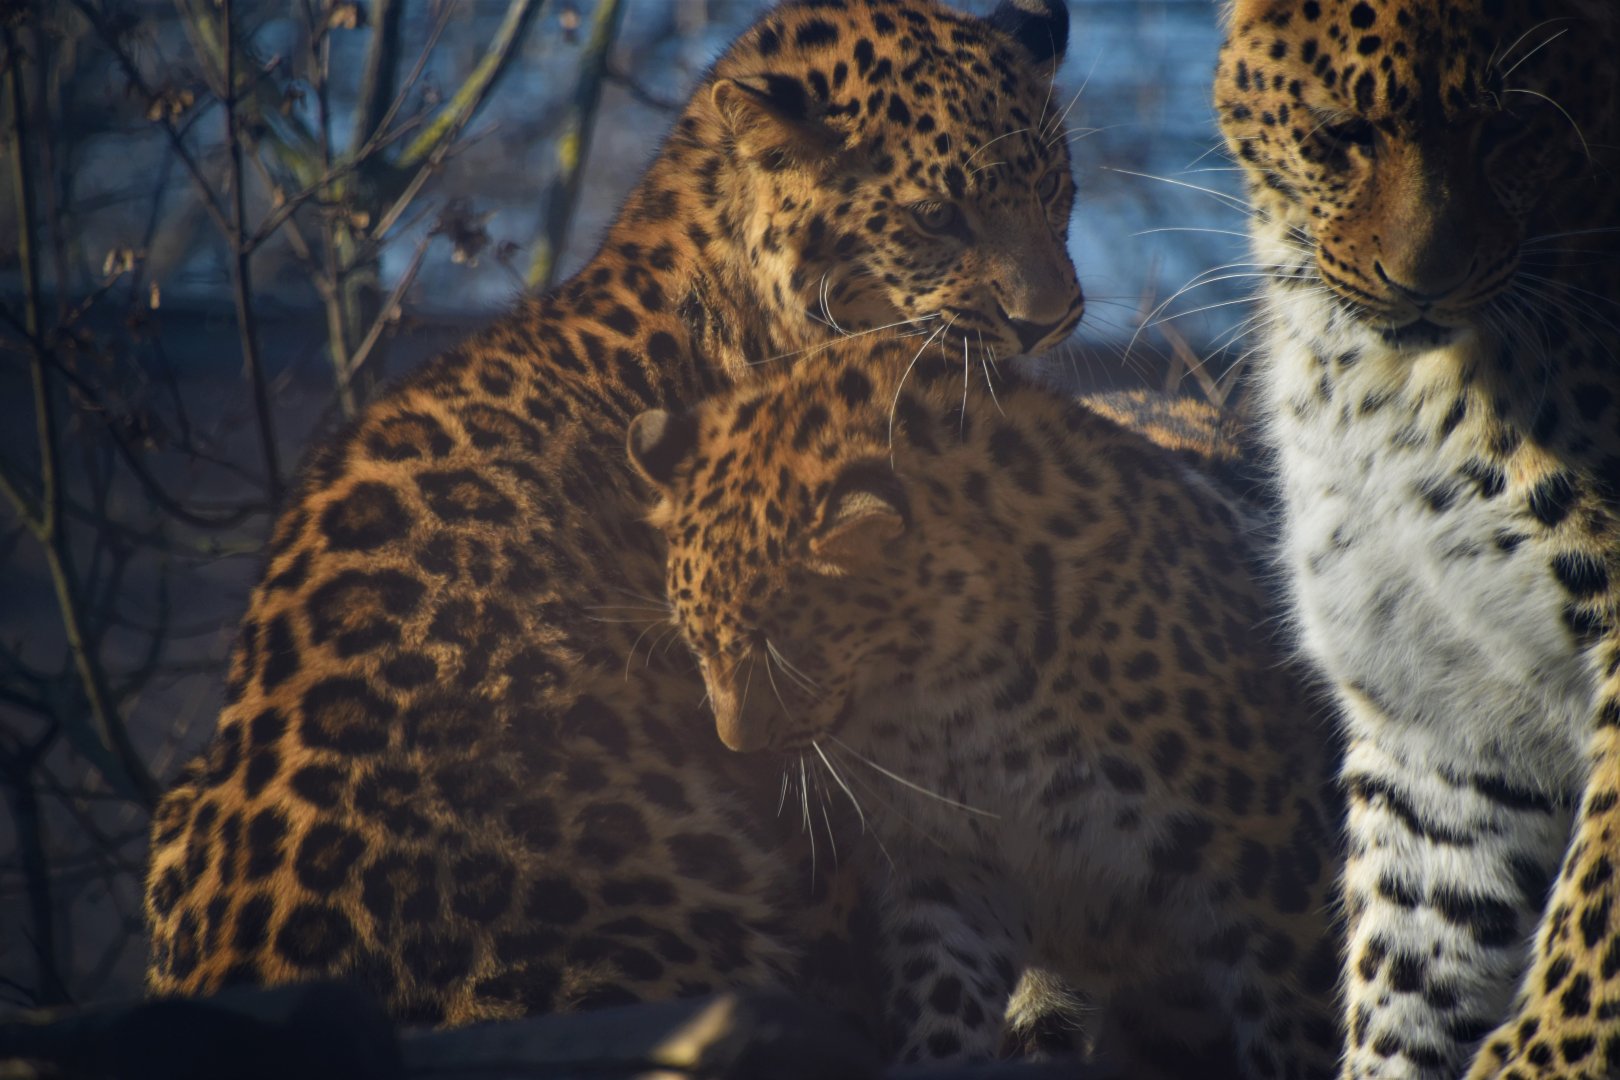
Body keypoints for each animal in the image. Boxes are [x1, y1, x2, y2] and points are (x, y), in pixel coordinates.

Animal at [625, 338, 1346, 1078]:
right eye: (696, 645)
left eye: (778, 650)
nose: (738, 746)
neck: (959, 707)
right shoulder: (950, 870)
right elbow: (943, 998)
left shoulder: (1270, 865)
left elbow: (1301, 1021)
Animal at [1216, 1, 1620, 1076]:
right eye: (1342, 132)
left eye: (1509, 130)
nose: (1423, 283)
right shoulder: (1447, 719)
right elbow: (1413, 957)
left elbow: (1593, 920)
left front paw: (1538, 1057)